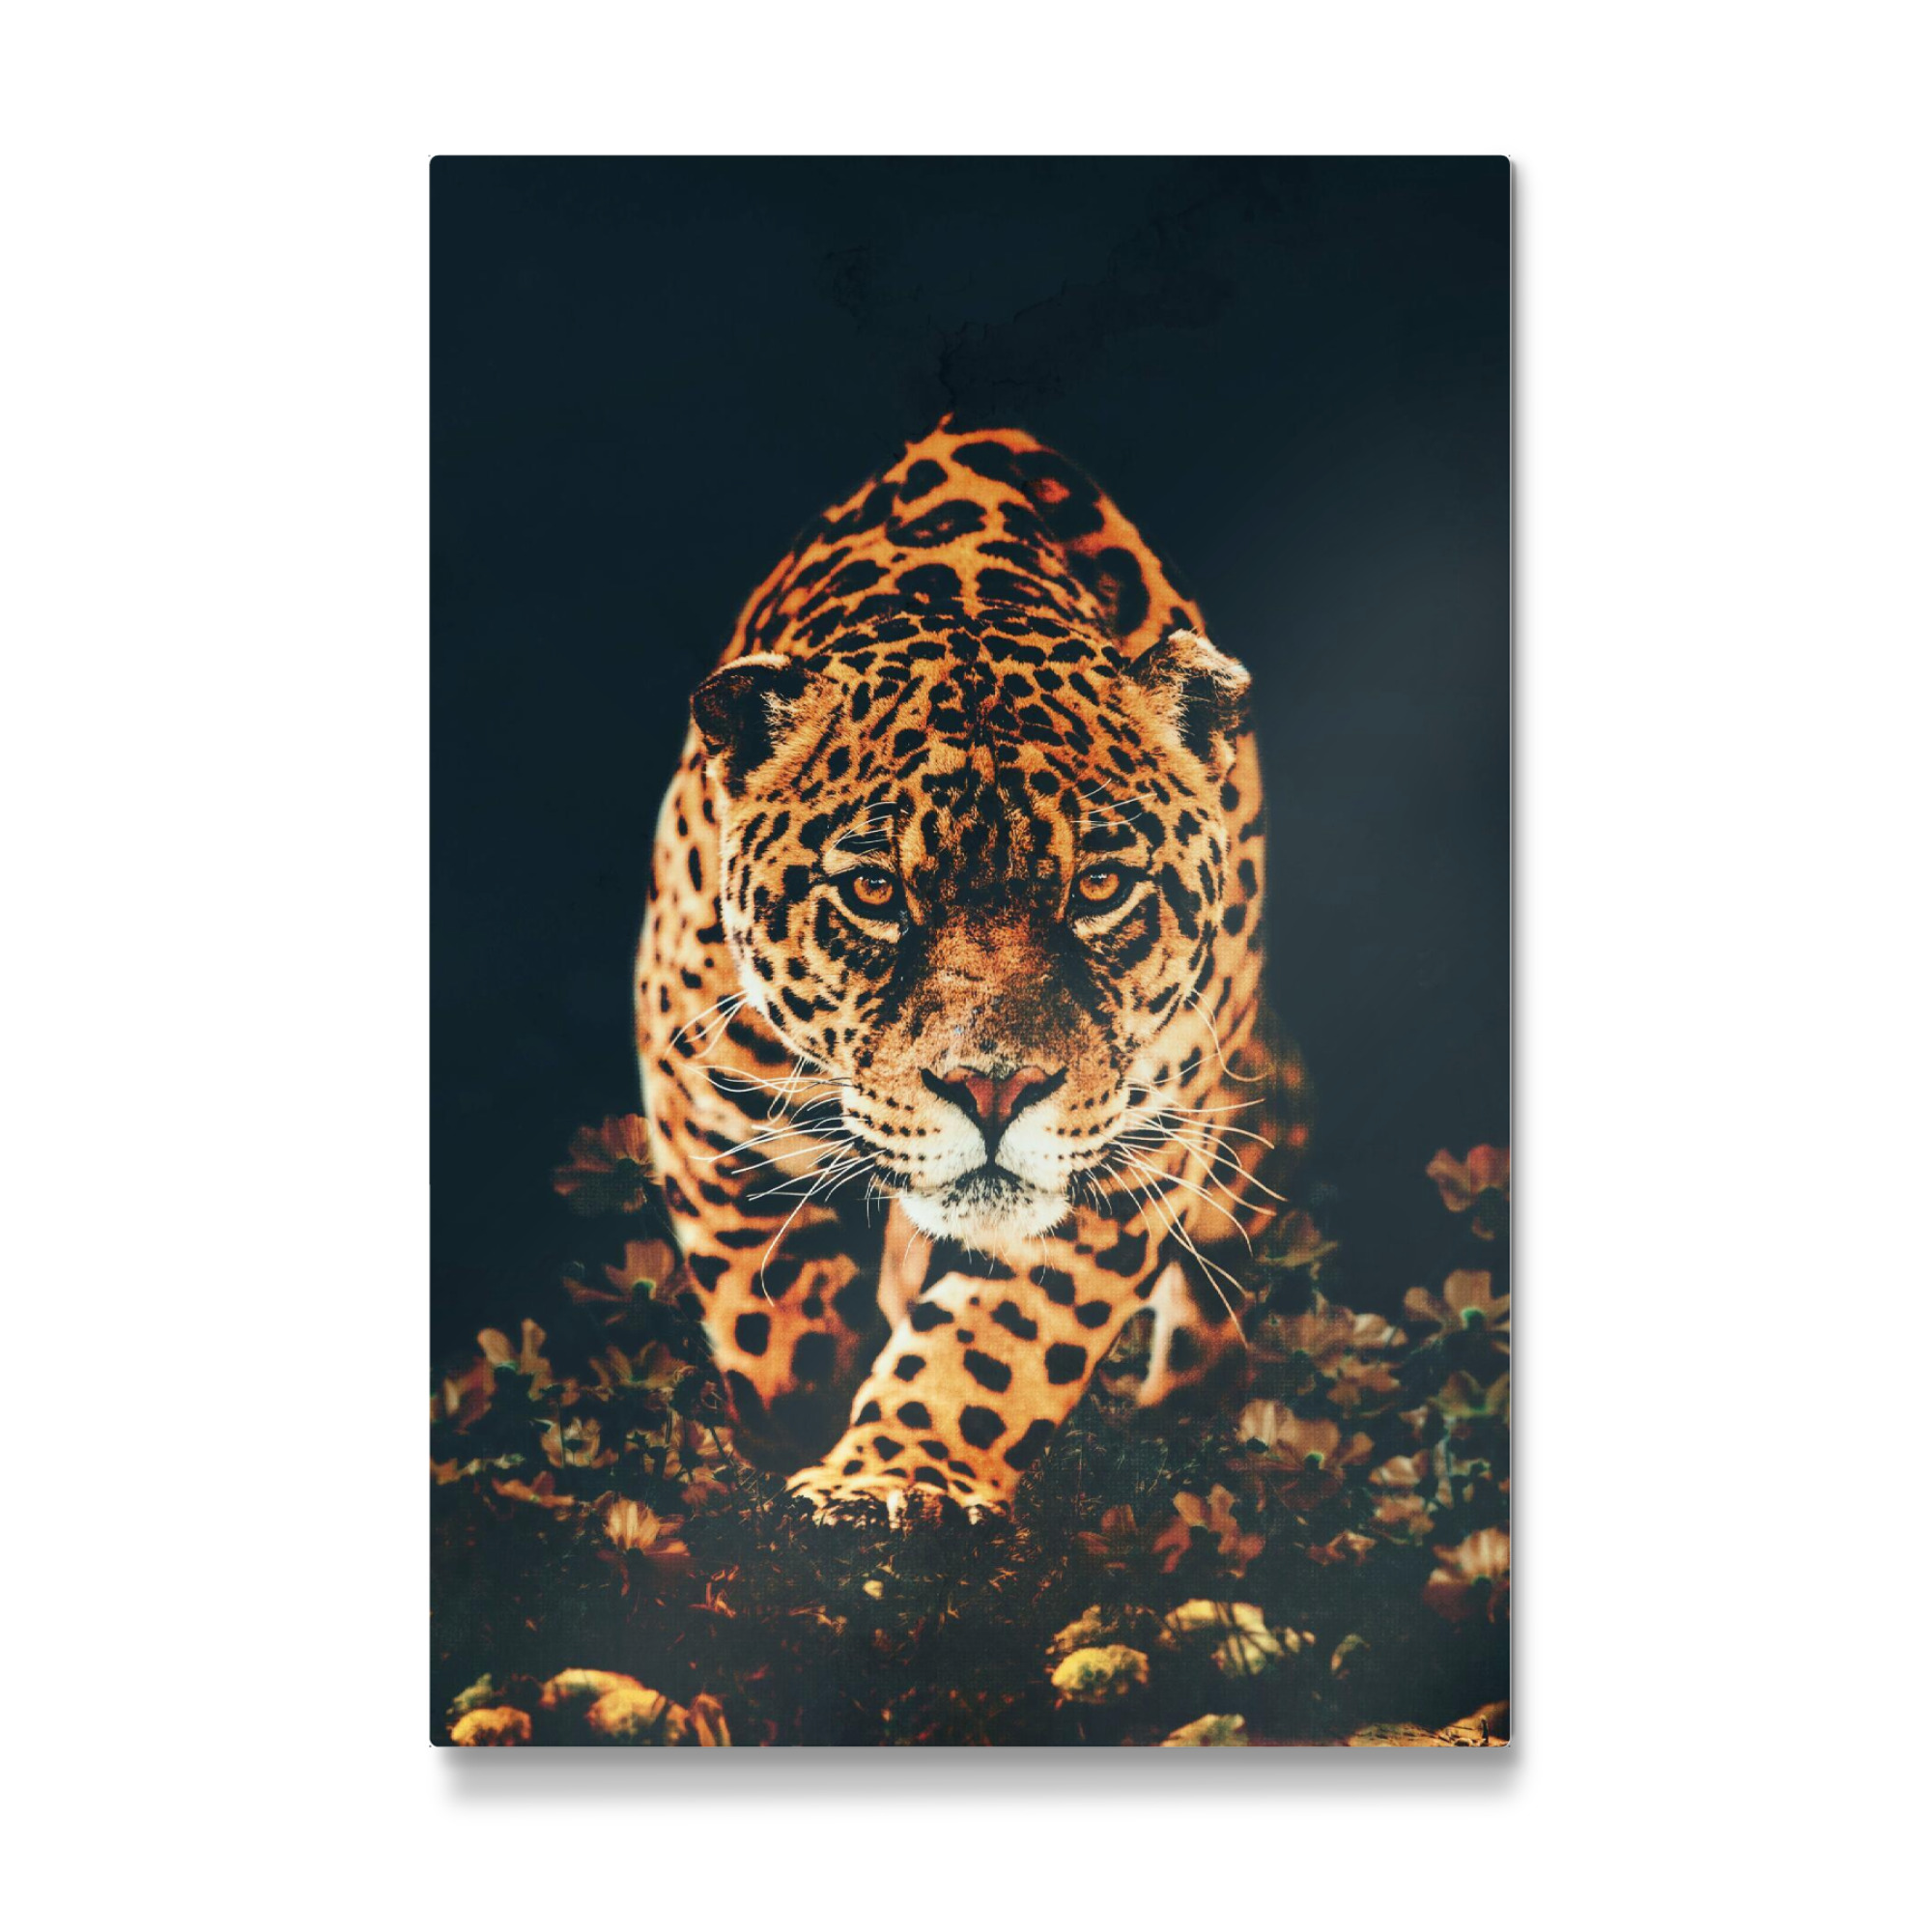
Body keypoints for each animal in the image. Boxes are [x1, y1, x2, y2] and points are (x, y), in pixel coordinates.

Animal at [636, 421, 1284, 1527]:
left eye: (1100, 884)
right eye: (873, 889)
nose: (993, 1089)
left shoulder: (1137, 1141)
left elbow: (1001, 1337)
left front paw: (892, 1474)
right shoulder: (703, 1079)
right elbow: (767, 1293)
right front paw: (799, 1419)